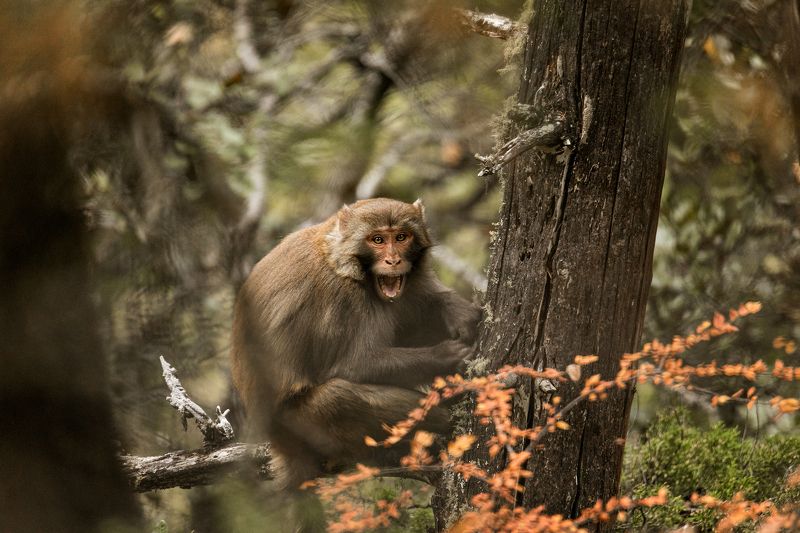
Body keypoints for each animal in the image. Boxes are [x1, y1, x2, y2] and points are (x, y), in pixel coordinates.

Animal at [230, 197, 480, 528]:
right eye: (378, 240)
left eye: (402, 237)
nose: (393, 261)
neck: (338, 257)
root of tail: (279, 441)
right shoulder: (344, 299)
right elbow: (354, 364)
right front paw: (447, 358)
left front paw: (455, 310)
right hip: (298, 422)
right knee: (337, 397)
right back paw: (441, 420)